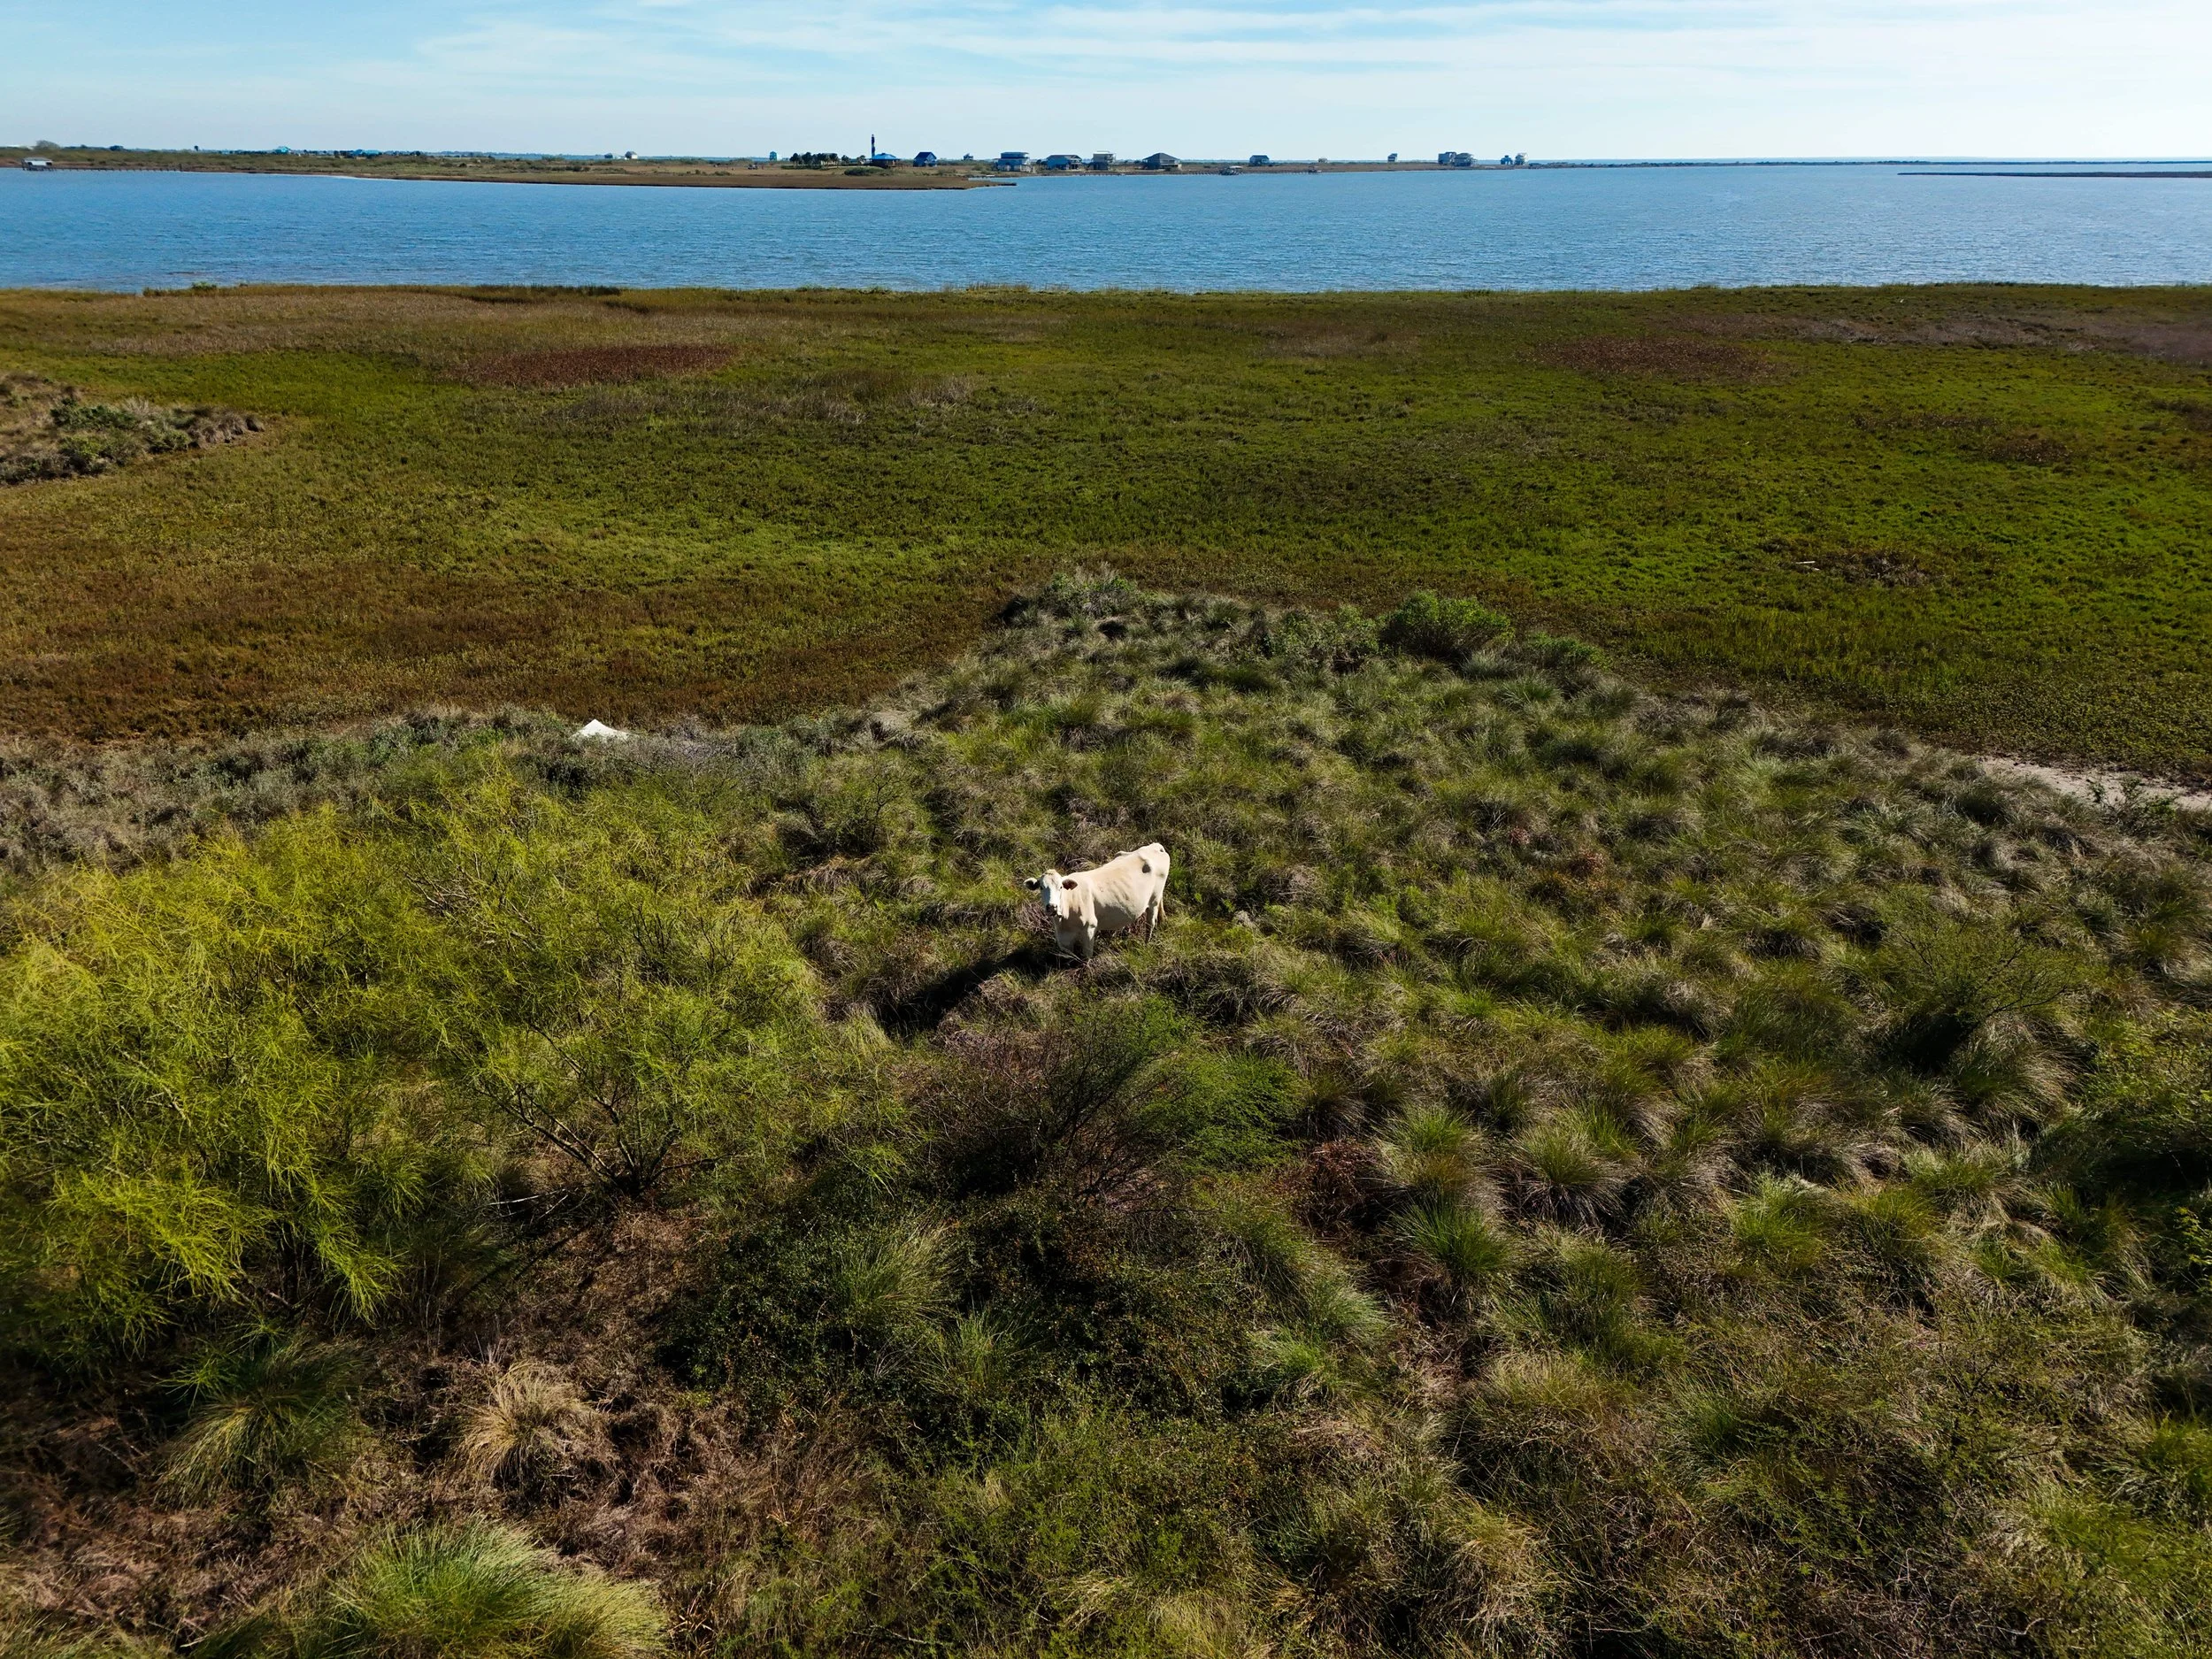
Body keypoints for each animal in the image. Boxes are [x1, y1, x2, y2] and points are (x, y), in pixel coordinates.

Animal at [1023, 843, 1170, 960]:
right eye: (1041, 887)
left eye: (1060, 887)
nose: (1052, 906)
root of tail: (1154, 846)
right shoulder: (1063, 938)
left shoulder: (1089, 929)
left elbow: (1086, 957)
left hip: (1153, 899)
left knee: (1150, 923)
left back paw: (1146, 944)